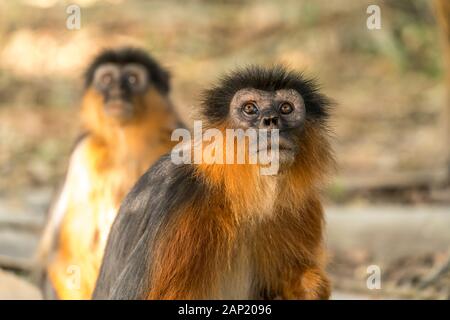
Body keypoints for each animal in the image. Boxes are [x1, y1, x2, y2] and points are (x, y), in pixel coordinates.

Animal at [36, 47, 182, 300]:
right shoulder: (83, 153)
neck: (126, 145)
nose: (116, 92)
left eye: (132, 79)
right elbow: (67, 256)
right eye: (107, 80)